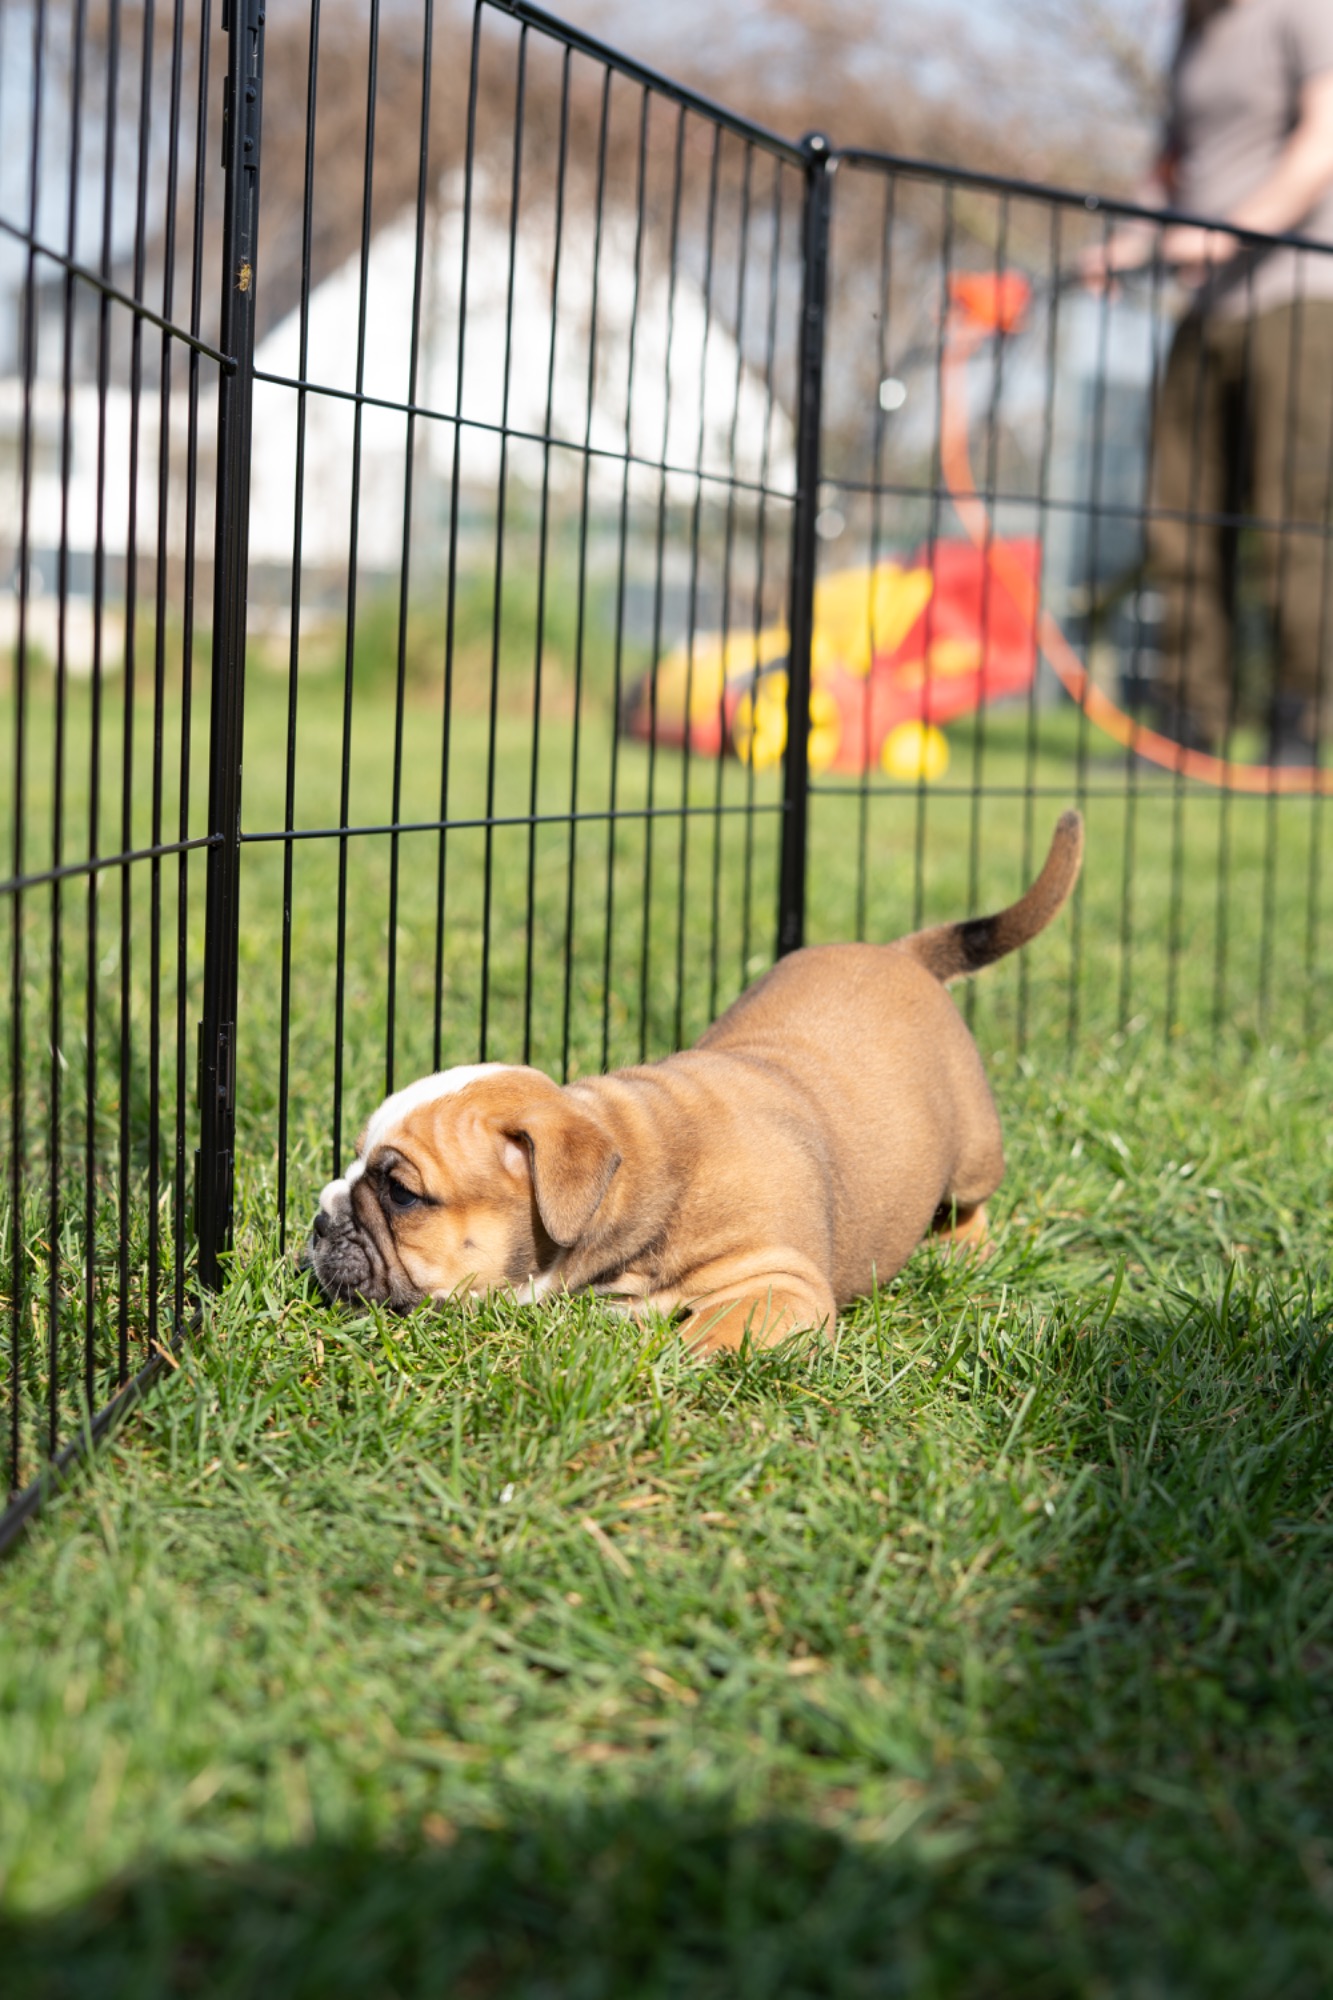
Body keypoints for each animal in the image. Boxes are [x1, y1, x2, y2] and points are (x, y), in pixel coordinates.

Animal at [306, 811, 1083, 1353]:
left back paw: (962, 1247)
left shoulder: (783, 1288)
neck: (637, 1166)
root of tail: (902, 953)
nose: (318, 1220)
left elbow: (706, 1335)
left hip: (974, 1152)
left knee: (971, 1200)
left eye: (401, 1193)